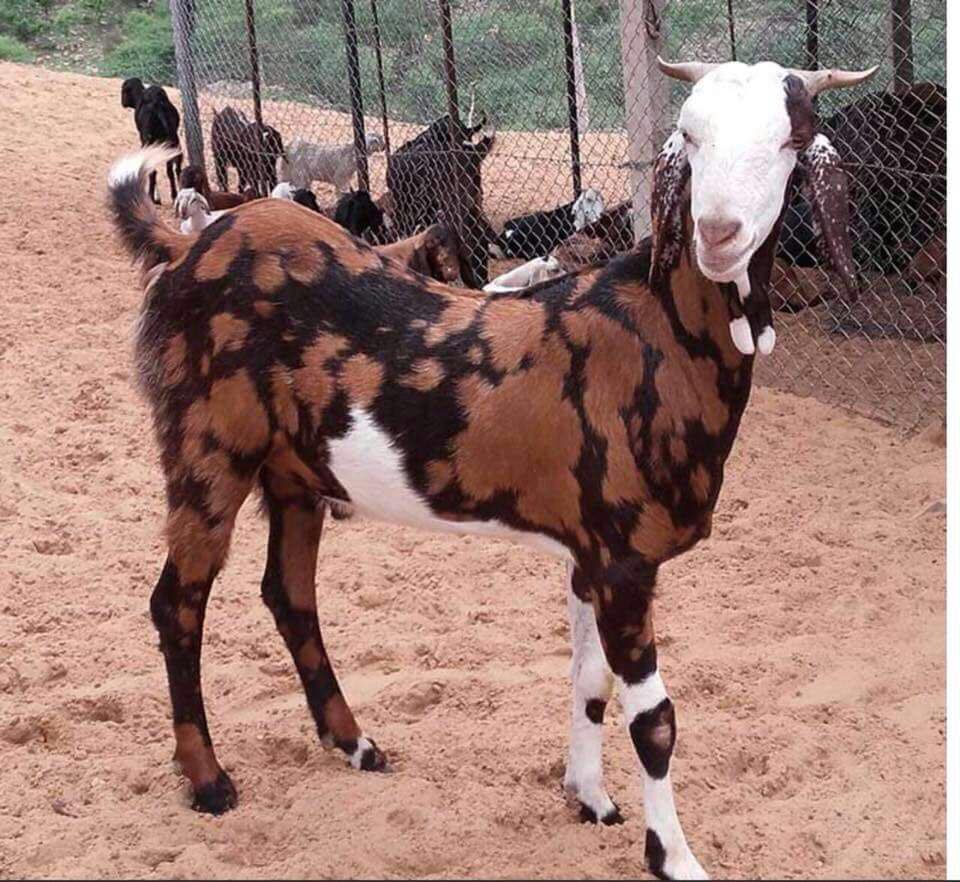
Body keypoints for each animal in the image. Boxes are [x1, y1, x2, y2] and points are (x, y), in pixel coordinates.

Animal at [107, 57, 872, 880]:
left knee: (289, 595)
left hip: (295, 475)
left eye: (791, 138)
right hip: (205, 449)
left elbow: (589, 680)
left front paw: (588, 796)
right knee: (177, 605)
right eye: (689, 135)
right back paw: (208, 779)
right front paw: (672, 856)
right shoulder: (625, 559)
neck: (655, 336)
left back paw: (353, 742)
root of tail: (186, 246)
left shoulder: (588, 555)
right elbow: (656, 722)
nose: (719, 234)